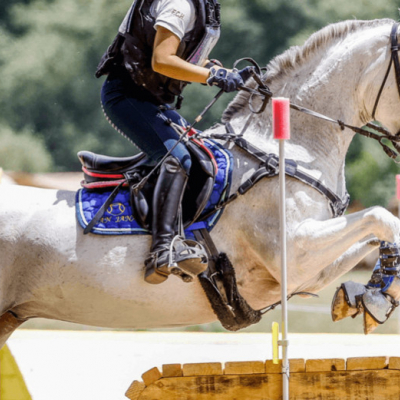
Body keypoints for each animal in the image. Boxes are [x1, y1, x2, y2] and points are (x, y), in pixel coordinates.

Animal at [0, 18, 400, 346]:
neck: (289, 147)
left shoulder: (309, 272)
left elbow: (376, 233)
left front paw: (373, 293)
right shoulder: (293, 252)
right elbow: (380, 216)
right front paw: (378, 295)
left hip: (10, 316)